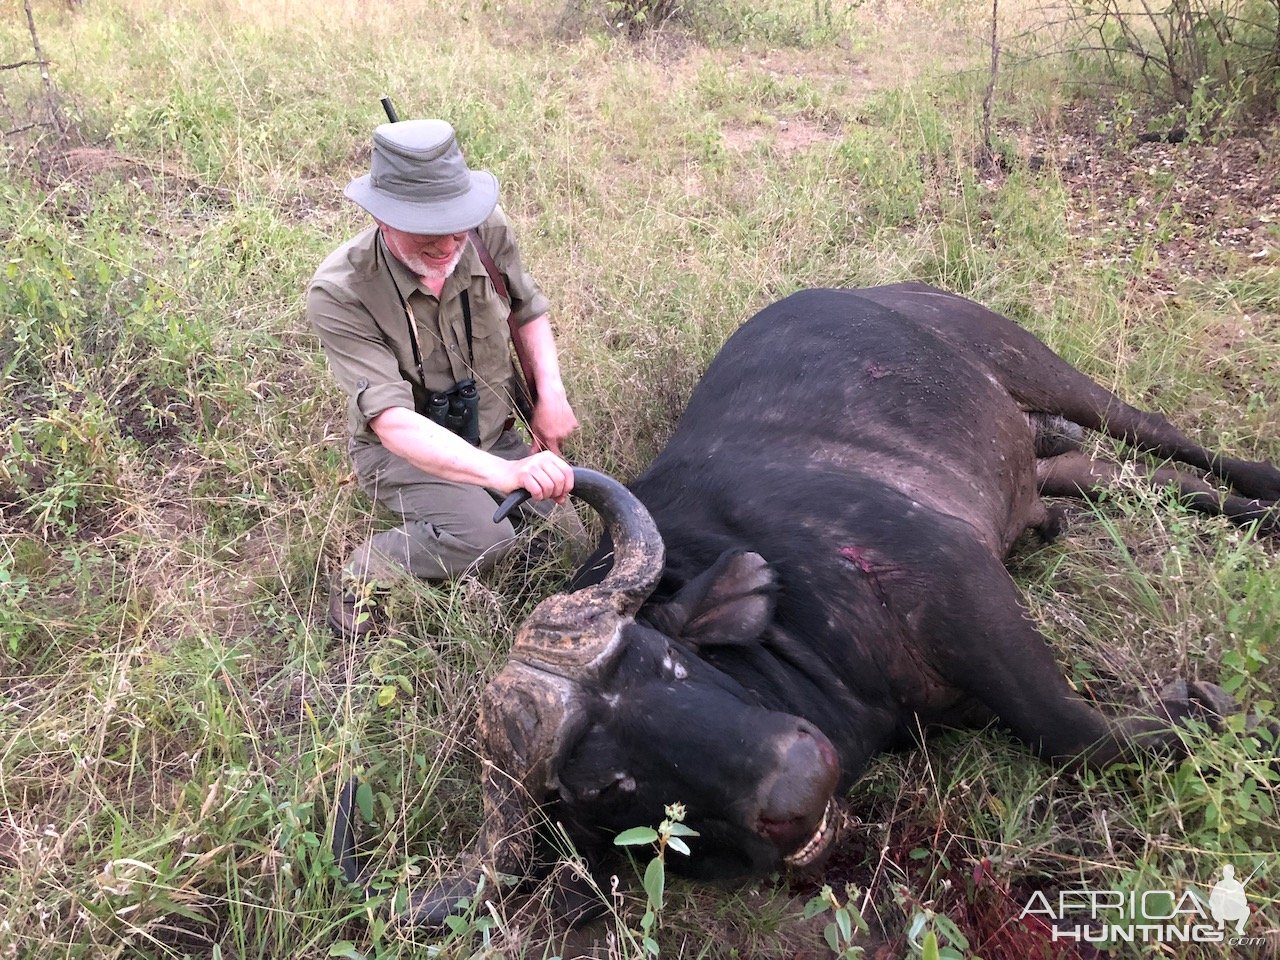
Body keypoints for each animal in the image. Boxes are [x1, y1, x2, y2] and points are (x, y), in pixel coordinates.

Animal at [332, 281, 1280, 926]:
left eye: (667, 660)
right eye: (607, 786)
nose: (798, 780)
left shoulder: (955, 583)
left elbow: (1070, 731)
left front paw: (1212, 711)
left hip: (1036, 367)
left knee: (1160, 435)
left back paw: (1266, 485)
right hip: (1046, 466)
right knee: (1121, 477)